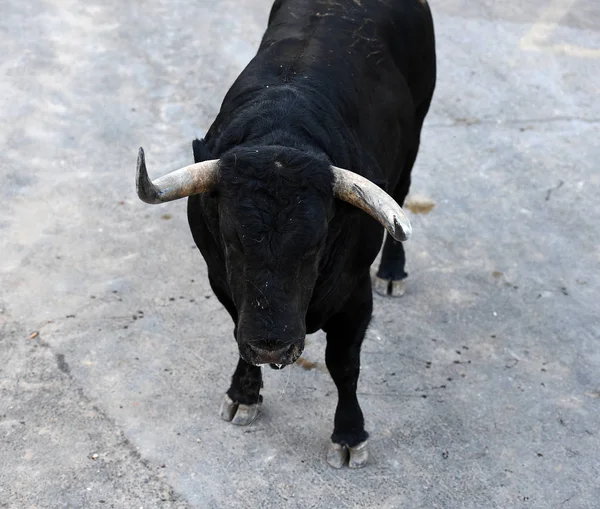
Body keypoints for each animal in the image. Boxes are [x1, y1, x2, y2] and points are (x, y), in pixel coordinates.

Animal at [137, 0, 436, 468]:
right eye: (232, 241)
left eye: (315, 246)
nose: (272, 348)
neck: (283, 129)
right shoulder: (221, 280)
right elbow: (237, 333)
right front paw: (243, 395)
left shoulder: (353, 295)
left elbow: (343, 364)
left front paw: (349, 435)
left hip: (416, 130)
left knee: (402, 192)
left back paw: (393, 271)